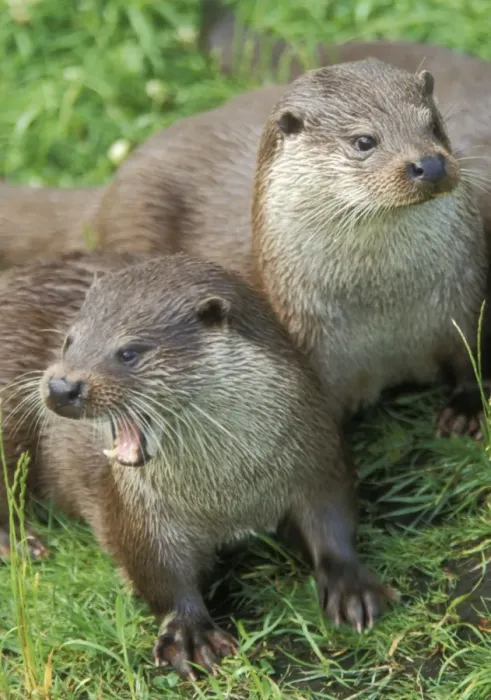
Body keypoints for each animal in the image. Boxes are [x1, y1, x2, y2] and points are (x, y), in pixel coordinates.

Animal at [0, 253, 393, 678]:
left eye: (130, 352)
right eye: (68, 341)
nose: (62, 386)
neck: (229, 494)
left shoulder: (317, 455)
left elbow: (333, 520)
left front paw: (350, 585)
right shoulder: (140, 511)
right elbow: (157, 572)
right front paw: (190, 633)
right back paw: (21, 542)